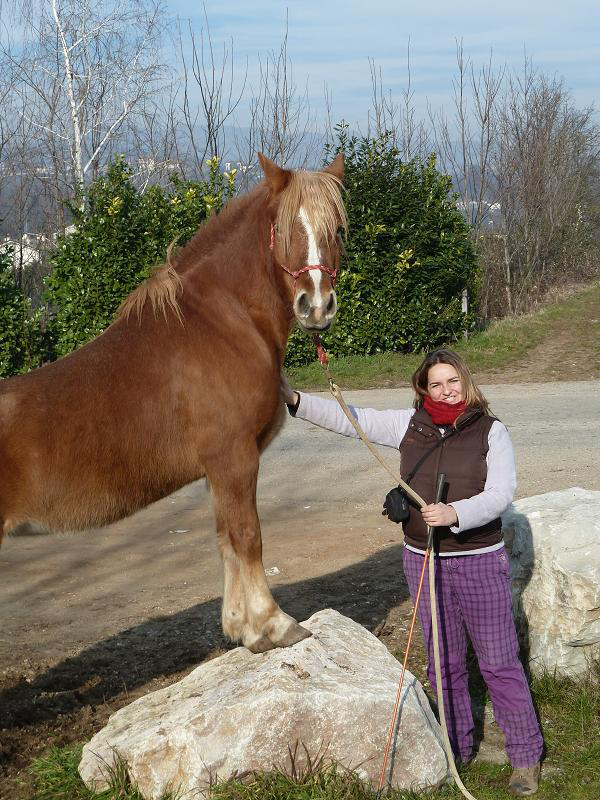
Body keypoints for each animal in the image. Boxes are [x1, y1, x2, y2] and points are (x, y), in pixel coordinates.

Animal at [0, 152, 346, 653]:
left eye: (337, 229)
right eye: (282, 229)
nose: (316, 306)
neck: (219, 323)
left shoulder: (219, 469)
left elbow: (226, 539)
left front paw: (242, 627)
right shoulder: (234, 458)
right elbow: (248, 536)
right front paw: (275, 624)